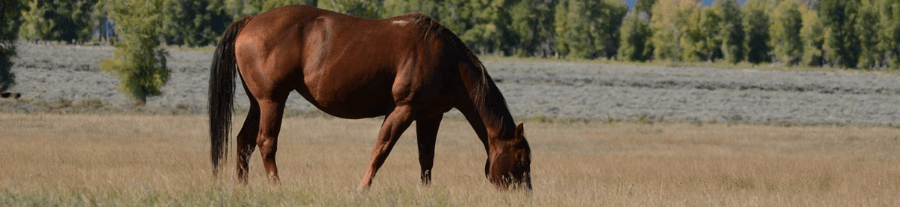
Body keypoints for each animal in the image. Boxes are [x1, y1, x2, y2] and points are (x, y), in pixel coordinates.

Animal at [207, 4, 532, 190]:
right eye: (522, 159)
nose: (524, 193)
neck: (446, 59)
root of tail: (250, 21)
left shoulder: (430, 115)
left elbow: (426, 157)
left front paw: (425, 192)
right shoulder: (403, 109)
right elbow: (381, 149)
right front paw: (363, 188)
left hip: (258, 103)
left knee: (244, 141)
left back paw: (244, 188)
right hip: (273, 101)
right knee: (266, 143)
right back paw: (277, 188)